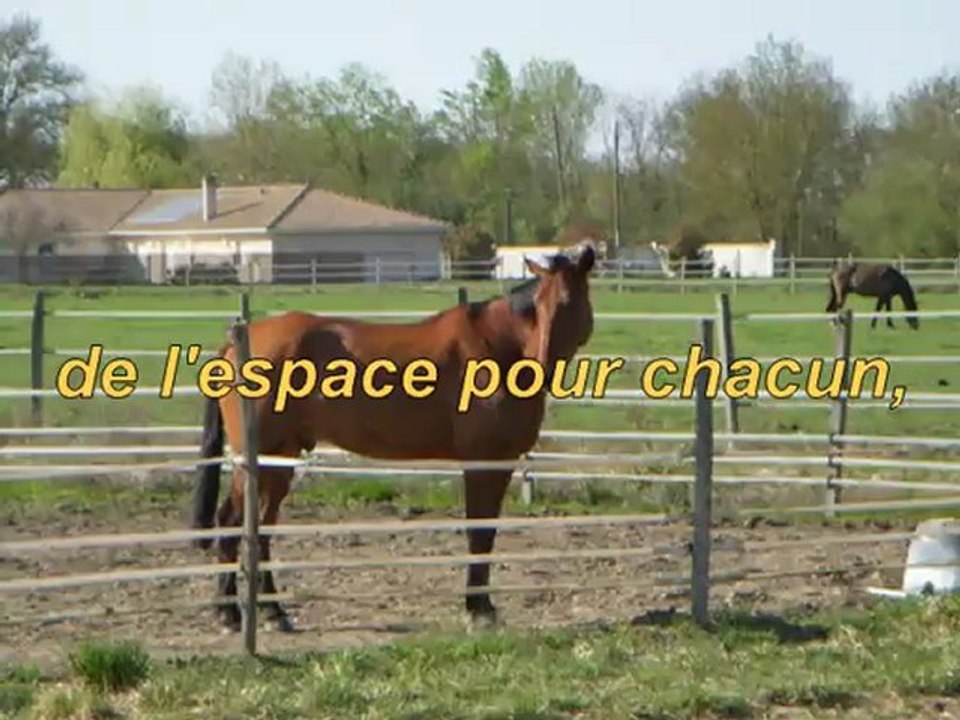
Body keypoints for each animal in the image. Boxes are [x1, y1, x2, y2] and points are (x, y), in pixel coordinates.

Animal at [188, 243, 597, 633]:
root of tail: (236, 344)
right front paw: (478, 610)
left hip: (280, 458)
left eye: (565, 303)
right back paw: (228, 614)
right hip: (256, 460)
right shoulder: (483, 461)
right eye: (538, 306)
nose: (543, 364)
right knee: (232, 523)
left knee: (261, 530)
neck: (498, 346)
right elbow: (479, 533)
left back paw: (273, 612)